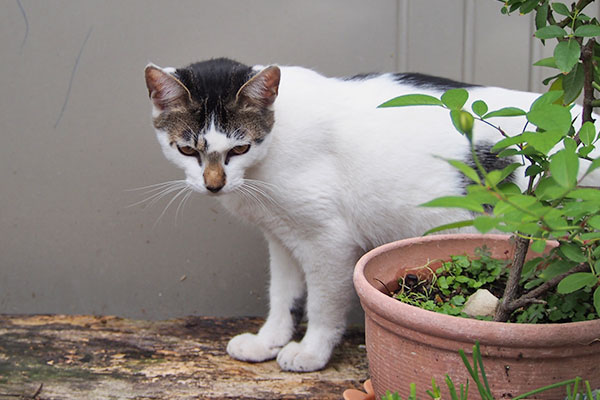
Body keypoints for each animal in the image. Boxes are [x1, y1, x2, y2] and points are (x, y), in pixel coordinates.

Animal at [145, 57, 596, 372]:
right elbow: (283, 295)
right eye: (186, 149)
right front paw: (267, 341)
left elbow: (322, 303)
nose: (214, 184)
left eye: (239, 148)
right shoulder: (282, 237)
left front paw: (310, 352)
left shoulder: (328, 241)